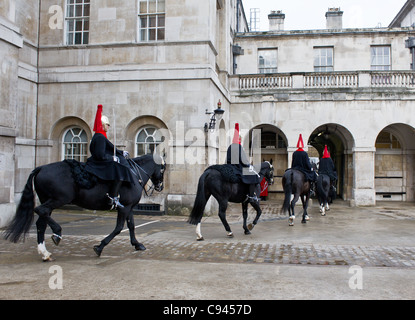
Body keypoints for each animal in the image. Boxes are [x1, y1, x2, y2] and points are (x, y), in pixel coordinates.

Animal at [3, 154, 166, 262]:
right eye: (163, 169)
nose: (160, 187)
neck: (133, 175)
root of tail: (41, 167)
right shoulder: (124, 207)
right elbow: (119, 228)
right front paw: (99, 247)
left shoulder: (129, 207)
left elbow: (131, 226)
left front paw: (137, 244)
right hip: (59, 199)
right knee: (40, 211)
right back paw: (57, 232)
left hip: (48, 199)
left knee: (41, 223)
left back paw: (45, 252)